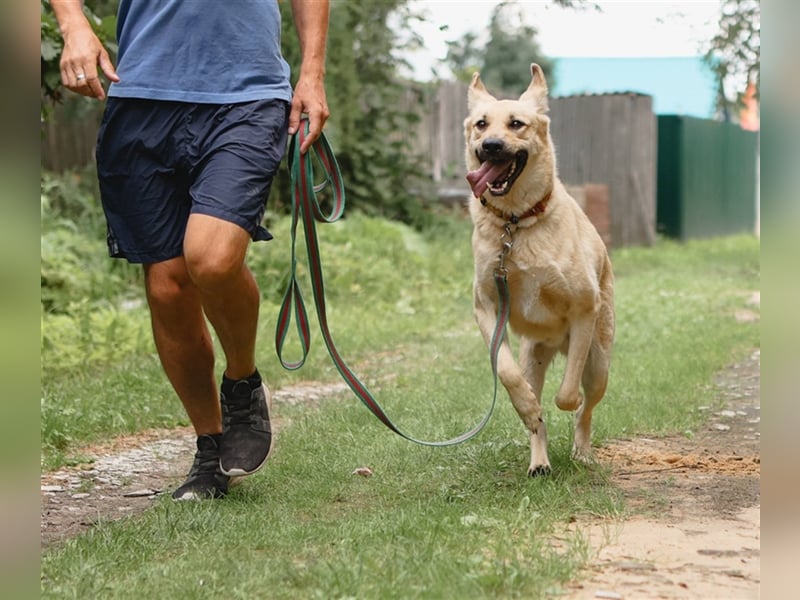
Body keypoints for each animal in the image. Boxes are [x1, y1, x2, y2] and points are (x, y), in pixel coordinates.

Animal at [466, 64, 616, 478]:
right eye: (481, 124)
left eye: (516, 124)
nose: (491, 146)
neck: (516, 224)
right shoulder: (487, 308)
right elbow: (506, 374)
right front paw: (529, 408)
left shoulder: (583, 311)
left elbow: (567, 395)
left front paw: (566, 402)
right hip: (533, 356)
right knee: (536, 411)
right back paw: (539, 460)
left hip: (600, 364)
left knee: (587, 409)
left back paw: (582, 451)